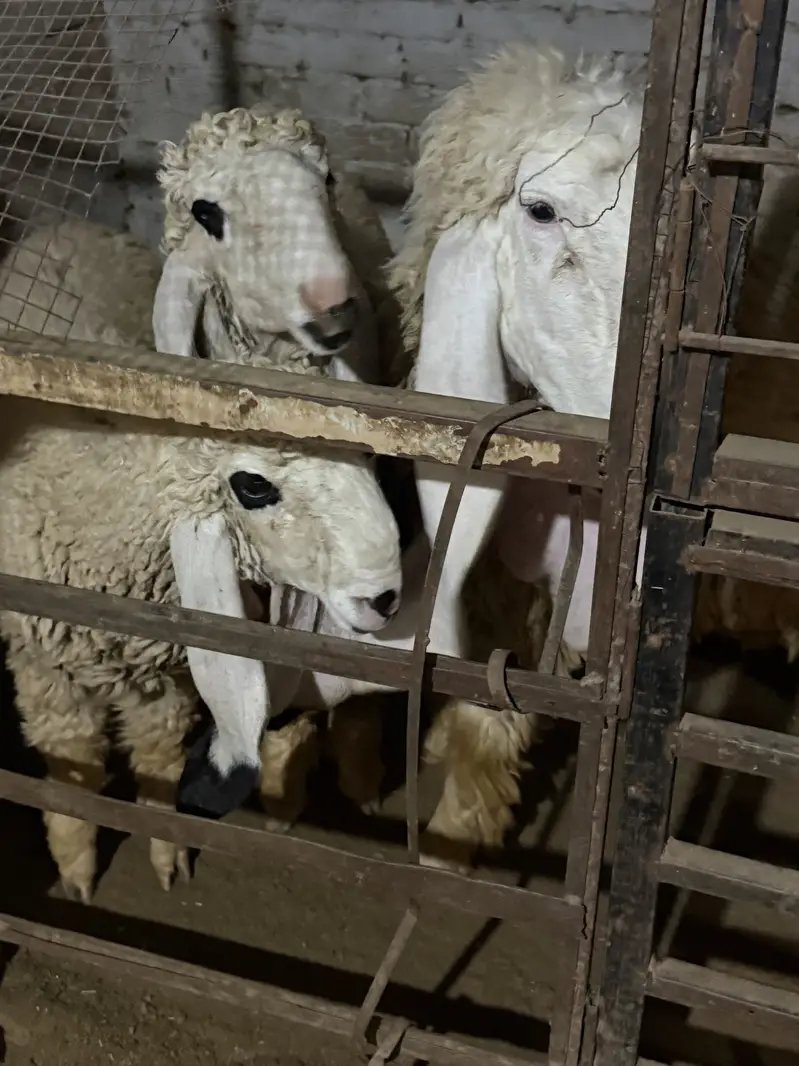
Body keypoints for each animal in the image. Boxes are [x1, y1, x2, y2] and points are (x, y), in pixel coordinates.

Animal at [0, 218, 404, 902]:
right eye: (253, 487)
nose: (385, 598)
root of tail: (63, 227)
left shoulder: (162, 673)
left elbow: (160, 763)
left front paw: (167, 856)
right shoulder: (45, 668)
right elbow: (74, 770)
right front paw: (77, 871)